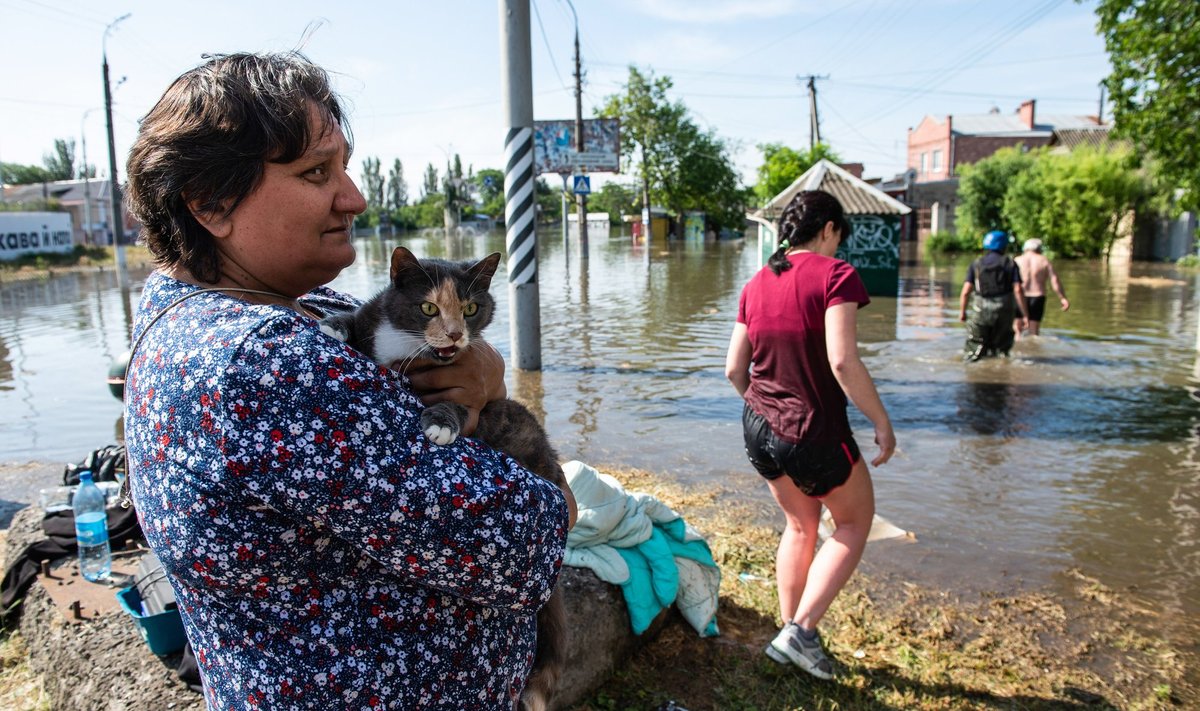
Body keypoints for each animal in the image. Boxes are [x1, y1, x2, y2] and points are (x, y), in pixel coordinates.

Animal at [321, 246, 568, 711]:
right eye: (428, 307)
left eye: (470, 309)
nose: (454, 336)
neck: (409, 345)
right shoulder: (378, 318)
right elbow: (359, 319)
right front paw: (332, 324)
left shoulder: (469, 388)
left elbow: (458, 405)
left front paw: (439, 423)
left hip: (511, 417)